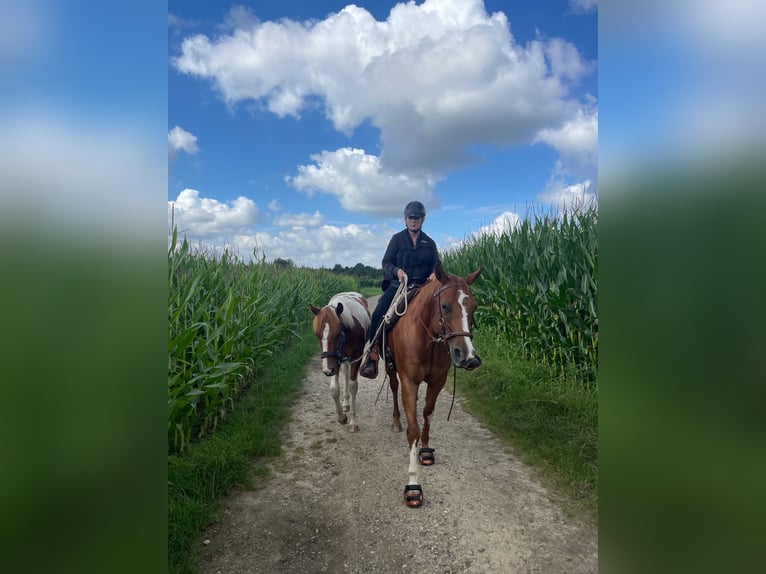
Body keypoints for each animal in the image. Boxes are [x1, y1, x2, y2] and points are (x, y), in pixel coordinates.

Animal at [309, 292, 371, 432]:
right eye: (317, 335)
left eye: (337, 334)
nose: (327, 369)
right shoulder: (335, 360)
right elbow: (334, 389)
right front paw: (341, 417)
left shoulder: (356, 358)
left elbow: (353, 386)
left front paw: (353, 422)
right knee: (345, 373)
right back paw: (345, 403)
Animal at [382, 261, 482, 507]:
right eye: (445, 306)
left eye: (473, 307)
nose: (469, 357)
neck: (427, 339)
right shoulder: (409, 382)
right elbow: (413, 430)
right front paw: (413, 485)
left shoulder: (437, 381)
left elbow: (427, 414)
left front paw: (425, 450)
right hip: (391, 369)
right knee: (394, 390)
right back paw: (396, 421)